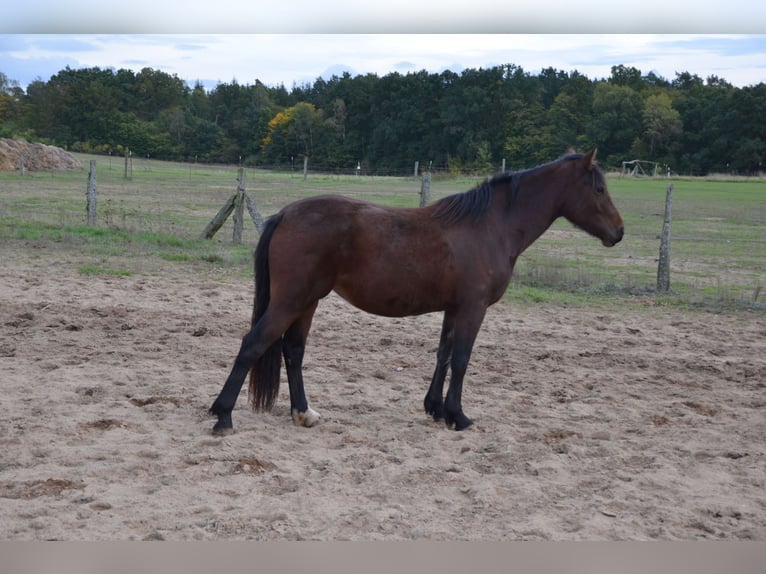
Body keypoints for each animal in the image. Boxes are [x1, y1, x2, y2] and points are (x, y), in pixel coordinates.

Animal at [209, 148, 624, 434]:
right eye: (599, 188)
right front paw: (458, 416)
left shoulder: (454, 309)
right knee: (253, 344)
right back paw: (223, 416)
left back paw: (303, 413)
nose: (619, 232)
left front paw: (435, 409)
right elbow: (462, 360)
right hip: (291, 300)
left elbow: (443, 356)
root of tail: (286, 214)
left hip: (308, 301)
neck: (490, 226)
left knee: (293, 351)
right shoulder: (473, 308)